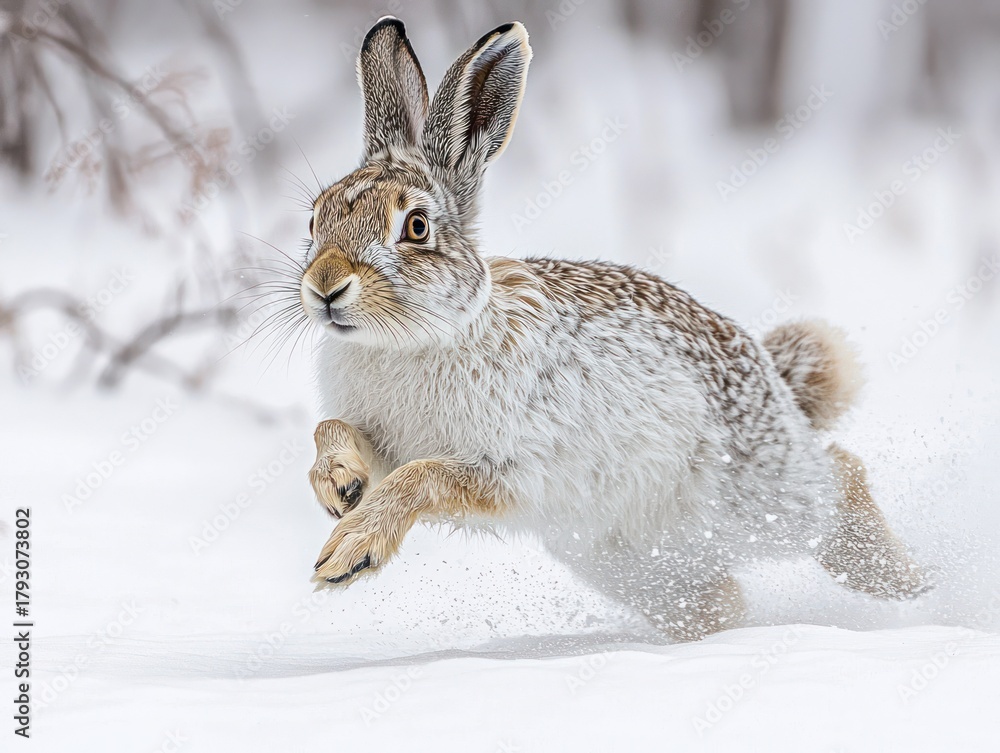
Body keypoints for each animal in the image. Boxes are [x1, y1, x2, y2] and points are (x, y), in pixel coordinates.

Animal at [299, 17, 927, 641]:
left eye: (417, 226)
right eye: (315, 219)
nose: (325, 287)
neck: (413, 337)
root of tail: (771, 377)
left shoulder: (507, 467)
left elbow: (420, 478)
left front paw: (349, 551)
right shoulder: (383, 438)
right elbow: (332, 429)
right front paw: (339, 486)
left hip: (758, 495)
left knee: (840, 477)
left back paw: (907, 581)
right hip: (634, 564)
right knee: (718, 600)